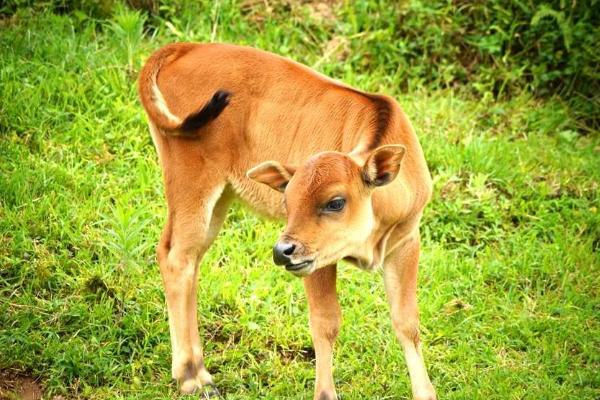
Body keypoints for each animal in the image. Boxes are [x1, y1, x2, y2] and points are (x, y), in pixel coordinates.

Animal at [137, 42, 436, 398]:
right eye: (287, 200)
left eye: (336, 202)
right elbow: (325, 323)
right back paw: (192, 376)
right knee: (177, 258)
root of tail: (185, 47)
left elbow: (407, 322)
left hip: (219, 196)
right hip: (191, 183)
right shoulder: (316, 261)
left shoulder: (406, 241)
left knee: (187, 259)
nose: (282, 251)